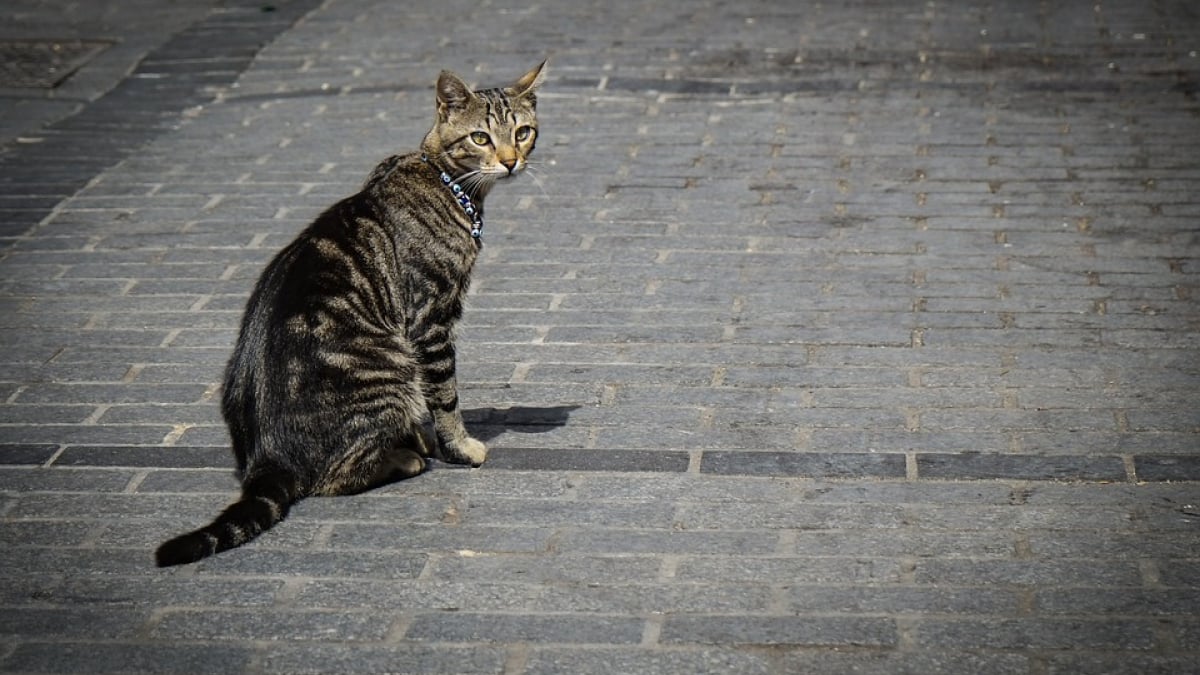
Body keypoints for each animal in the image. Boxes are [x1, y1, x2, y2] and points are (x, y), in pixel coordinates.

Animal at [153, 61, 544, 566]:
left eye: (522, 132)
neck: (446, 180)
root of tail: (266, 458)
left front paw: (420, 435)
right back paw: (402, 459)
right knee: (332, 478)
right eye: (480, 137)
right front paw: (458, 446)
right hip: (390, 364)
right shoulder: (430, 319)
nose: (511, 160)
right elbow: (445, 396)